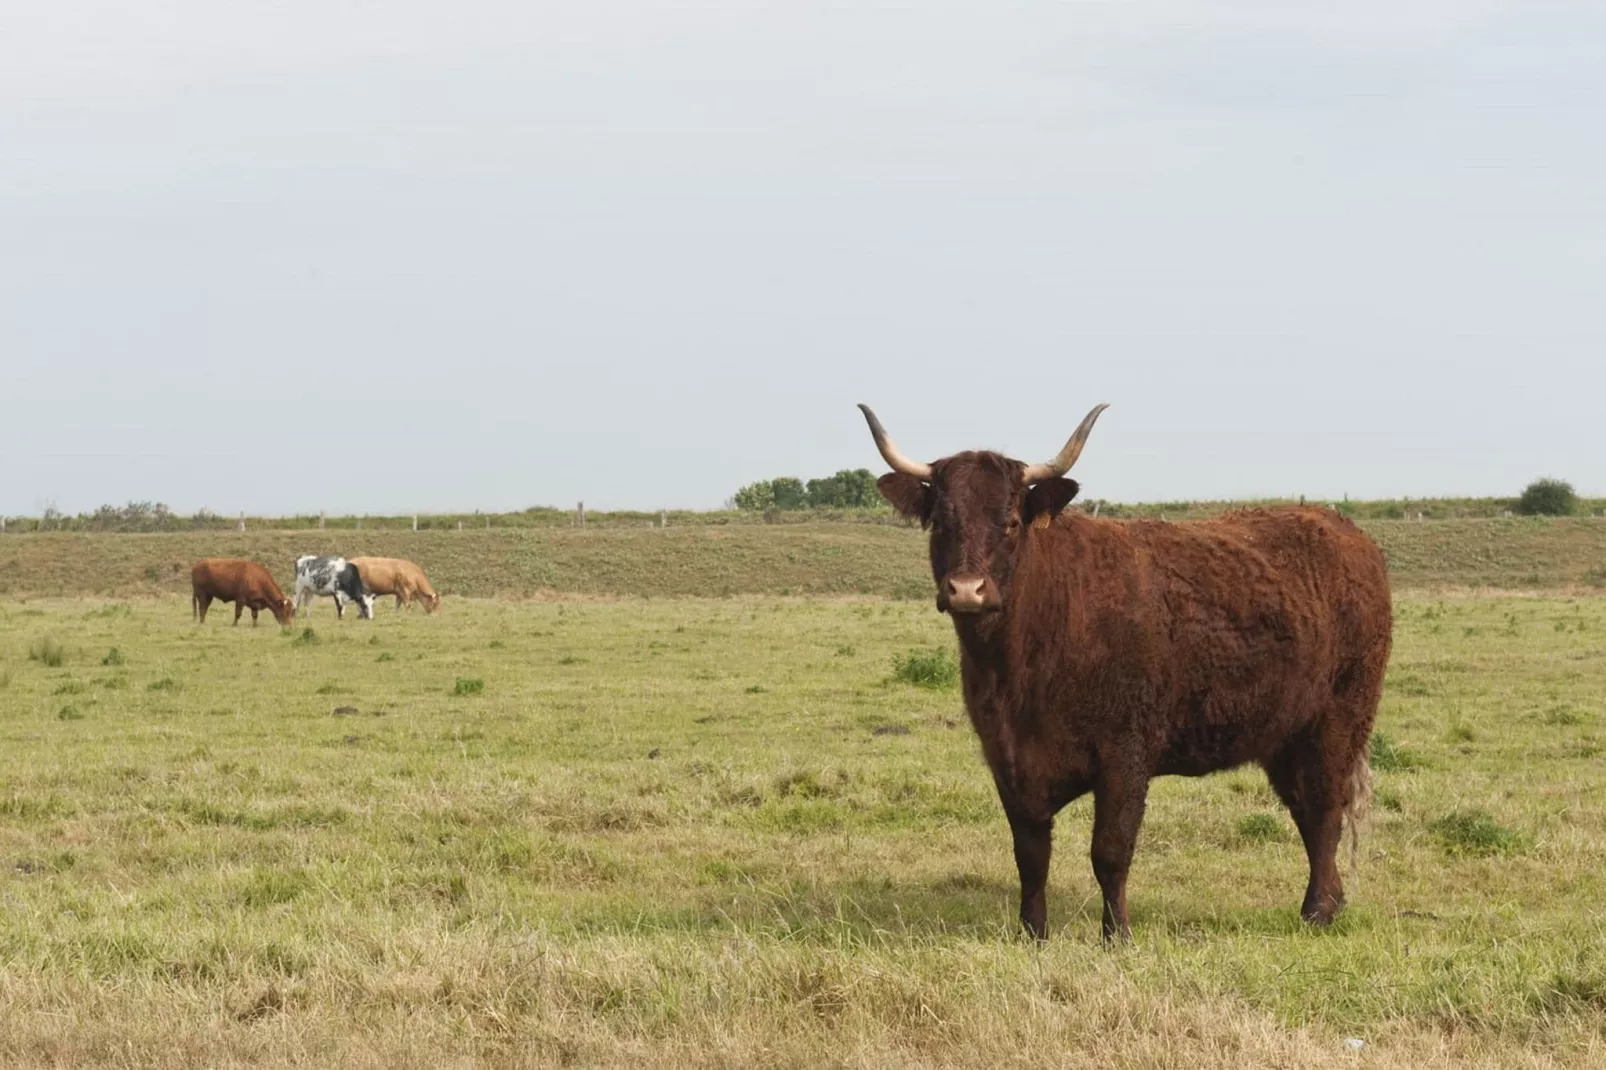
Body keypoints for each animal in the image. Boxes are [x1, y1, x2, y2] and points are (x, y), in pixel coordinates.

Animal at [854, 404, 1394, 938]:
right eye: (941, 521)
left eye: (1009, 521)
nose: (967, 590)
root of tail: (1346, 531)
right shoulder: (1007, 758)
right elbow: (1030, 855)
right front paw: (1033, 932)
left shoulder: (1126, 753)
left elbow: (1110, 851)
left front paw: (1117, 934)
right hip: (1283, 734)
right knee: (1305, 810)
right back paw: (1330, 903)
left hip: (1339, 720)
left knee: (1325, 810)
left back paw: (1317, 911)